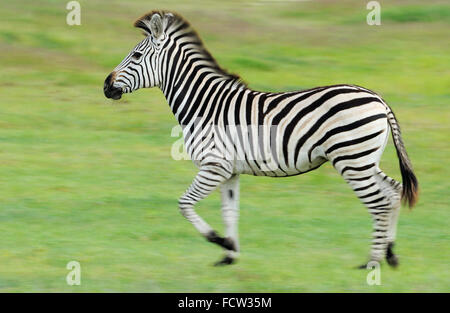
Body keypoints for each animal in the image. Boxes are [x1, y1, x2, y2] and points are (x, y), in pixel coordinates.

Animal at [103, 11, 418, 266]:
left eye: (136, 56)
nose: (106, 86)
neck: (204, 104)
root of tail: (378, 99)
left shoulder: (214, 166)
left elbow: (184, 204)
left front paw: (220, 241)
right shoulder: (229, 171)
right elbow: (230, 212)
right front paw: (229, 255)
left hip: (351, 160)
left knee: (379, 202)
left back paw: (373, 262)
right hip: (363, 160)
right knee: (393, 192)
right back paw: (390, 254)